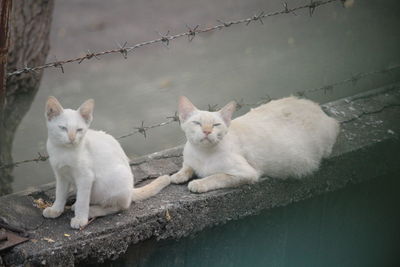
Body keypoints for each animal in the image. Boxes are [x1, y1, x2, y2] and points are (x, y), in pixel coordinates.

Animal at [42, 97, 170, 229]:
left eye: (79, 130)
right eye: (63, 128)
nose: (72, 138)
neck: (64, 151)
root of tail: (130, 190)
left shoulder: (86, 177)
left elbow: (82, 200)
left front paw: (80, 219)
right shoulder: (61, 175)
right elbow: (60, 193)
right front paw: (55, 210)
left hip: (111, 182)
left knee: (119, 206)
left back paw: (91, 210)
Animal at [170, 96, 340, 193]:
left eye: (216, 125)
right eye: (197, 123)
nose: (206, 131)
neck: (203, 153)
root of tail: (316, 107)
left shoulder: (245, 173)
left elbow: (215, 177)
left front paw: (198, 183)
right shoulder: (189, 161)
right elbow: (186, 168)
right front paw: (177, 176)